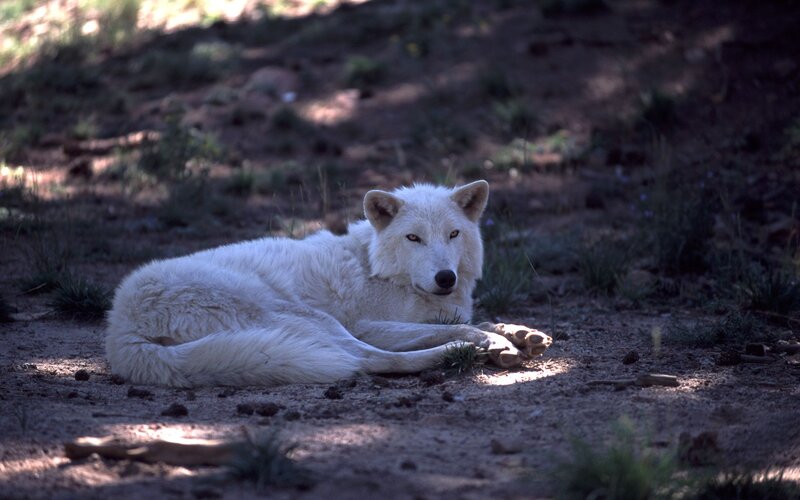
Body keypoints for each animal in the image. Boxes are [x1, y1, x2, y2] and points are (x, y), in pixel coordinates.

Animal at [105, 180, 551, 387]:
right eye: (414, 238)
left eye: (454, 234)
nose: (446, 277)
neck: (377, 266)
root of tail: (119, 329)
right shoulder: (369, 324)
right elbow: (460, 327)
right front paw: (496, 343)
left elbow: (476, 319)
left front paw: (520, 333)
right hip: (309, 318)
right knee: (366, 360)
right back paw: (454, 355)